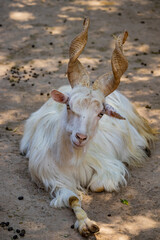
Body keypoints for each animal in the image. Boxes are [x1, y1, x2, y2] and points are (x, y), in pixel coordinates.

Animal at [20, 18, 155, 238]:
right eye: (68, 105)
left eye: (100, 113)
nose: (80, 137)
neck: (70, 161)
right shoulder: (52, 179)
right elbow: (73, 198)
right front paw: (87, 225)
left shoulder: (109, 166)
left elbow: (97, 185)